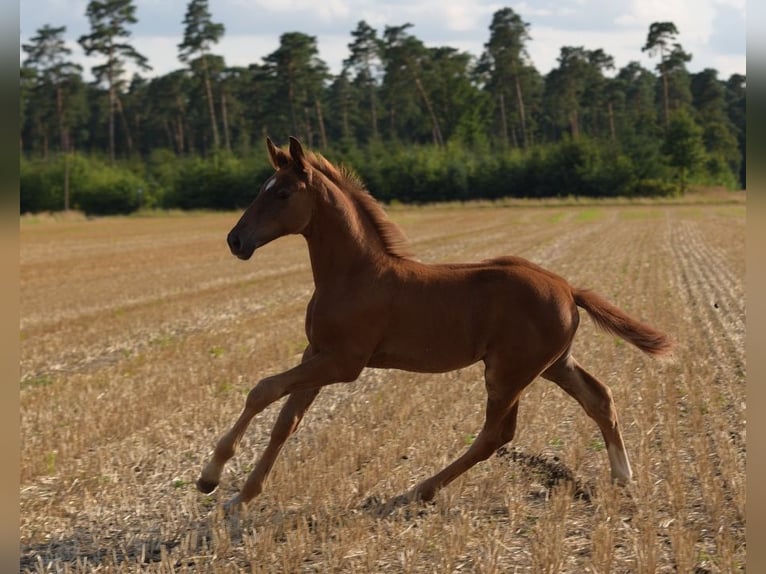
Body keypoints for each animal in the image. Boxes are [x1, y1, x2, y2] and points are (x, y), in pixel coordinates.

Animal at [198, 137, 672, 510]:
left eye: (281, 194)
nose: (235, 240)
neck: (353, 275)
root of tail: (569, 288)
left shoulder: (344, 363)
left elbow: (263, 390)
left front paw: (212, 475)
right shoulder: (316, 352)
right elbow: (286, 420)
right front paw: (240, 495)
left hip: (508, 371)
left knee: (495, 434)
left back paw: (416, 491)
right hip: (553, 364)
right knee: (598, 398)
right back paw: (623, 478)